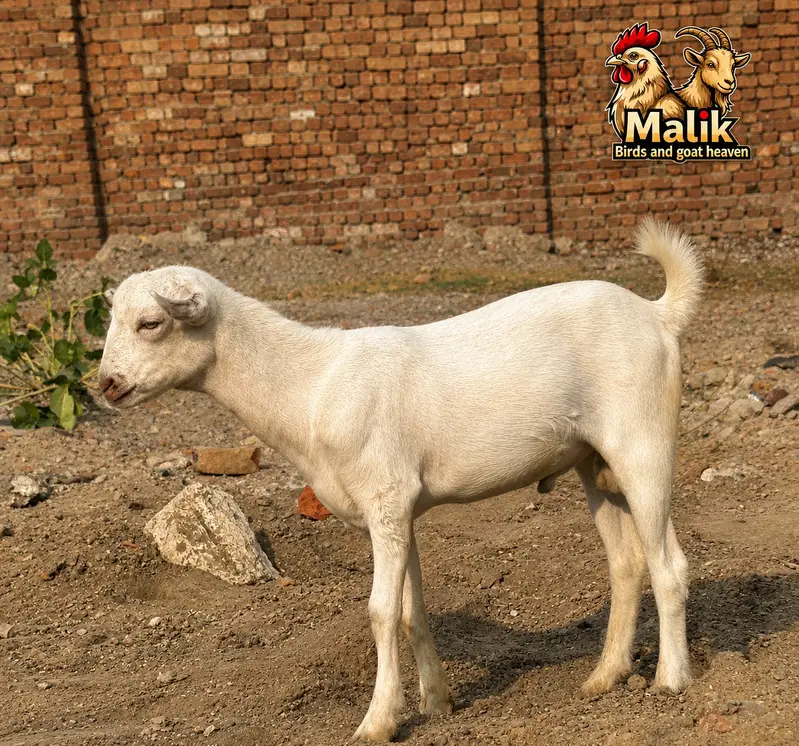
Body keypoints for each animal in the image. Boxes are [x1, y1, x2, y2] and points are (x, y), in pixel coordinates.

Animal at [99, 218, 703, 742]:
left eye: (151, 324)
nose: (105, 384)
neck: (313, 387)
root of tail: (658, 314)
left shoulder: (385, 498)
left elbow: (381, 612)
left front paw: (377, 722)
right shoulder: (400, 509)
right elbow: (413, 611)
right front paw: (437, 703)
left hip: (644, 444)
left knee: (668, 563)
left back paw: (671, 680)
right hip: (593, 462)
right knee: (626, 562)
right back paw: (604, 676)